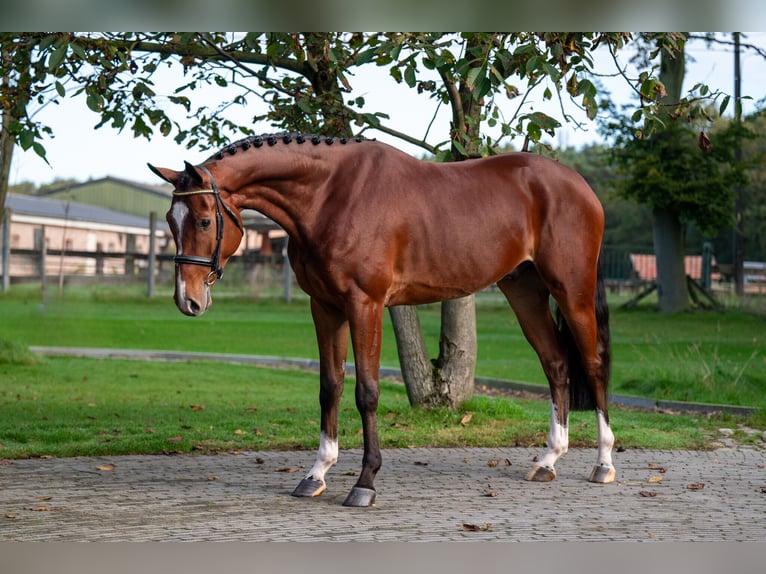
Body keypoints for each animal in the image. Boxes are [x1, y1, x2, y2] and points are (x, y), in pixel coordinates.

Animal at [150, 134, 616, 508]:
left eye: (204, 221)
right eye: (172, 221)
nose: (187, 300)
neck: (330, 195)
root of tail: (580, 186)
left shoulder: (365, 305)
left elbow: (367, 393)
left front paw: (365, 483)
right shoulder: (325, 307)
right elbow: (330, 387)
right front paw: (316, 474)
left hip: (572, 293)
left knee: (592, 366)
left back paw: (604, 464)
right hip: (524, 291)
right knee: (556, 364)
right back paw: (548, 460)